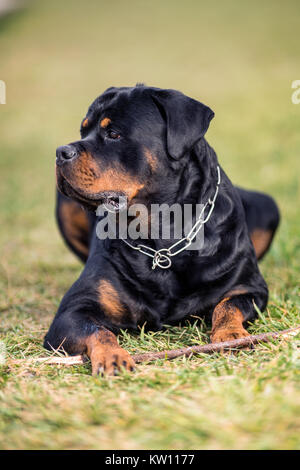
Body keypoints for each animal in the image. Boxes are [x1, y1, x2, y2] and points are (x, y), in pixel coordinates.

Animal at [44, 84, 278, 376]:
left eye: (113, 133)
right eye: (83, 131)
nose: (61, 151)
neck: (162, 235)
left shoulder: (249, 288)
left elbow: (227, 307)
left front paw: (232, 335)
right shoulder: (72, 312)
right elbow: (97, 330)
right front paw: (112, 356)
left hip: (268, 206)